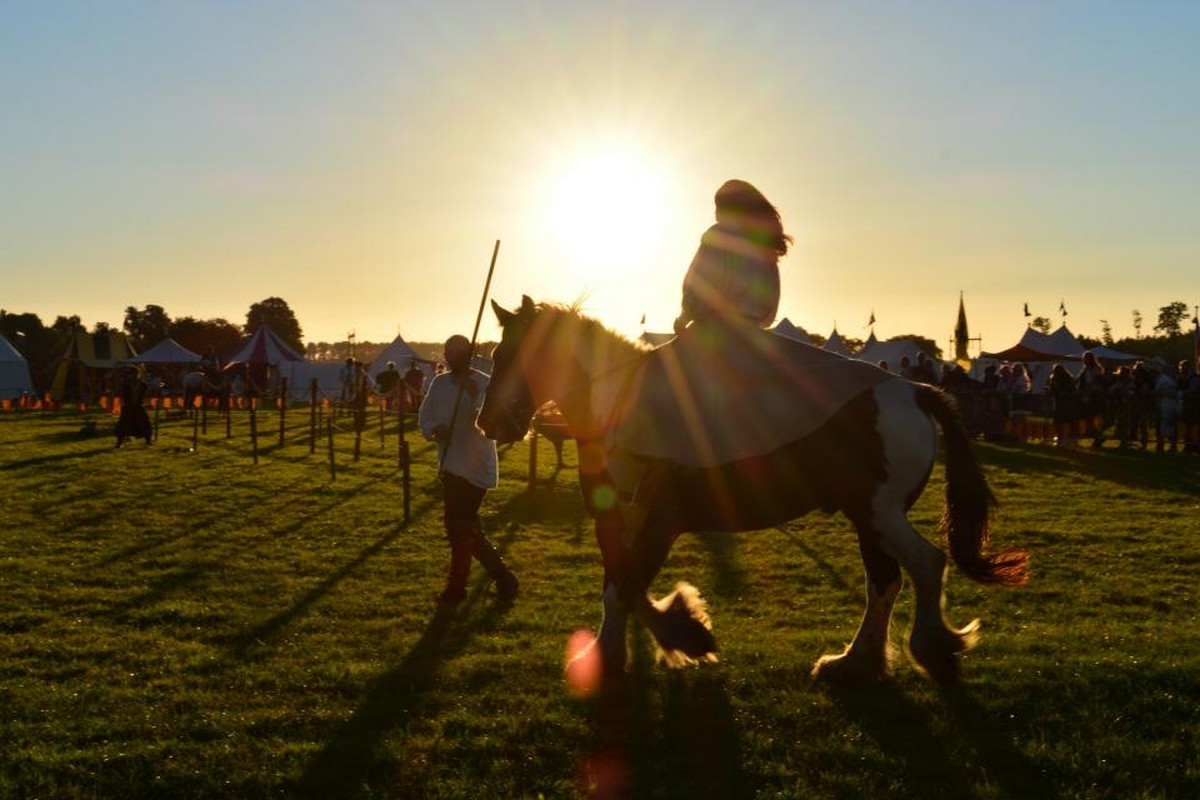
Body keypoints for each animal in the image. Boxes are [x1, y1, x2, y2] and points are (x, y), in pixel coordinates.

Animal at [480, 297, 1032, 686]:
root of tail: (915, 391)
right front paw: (649, 641)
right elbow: (621, 586)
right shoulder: (617, 519)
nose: (489, 423)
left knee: (925, 564)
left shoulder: (660, 520)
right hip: (868, 519)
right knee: (885, 581)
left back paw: (932, 647)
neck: (621, 403)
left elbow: (627, 587)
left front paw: (678, 637)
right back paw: (855, 663)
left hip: (879, 514)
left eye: (513, 355)